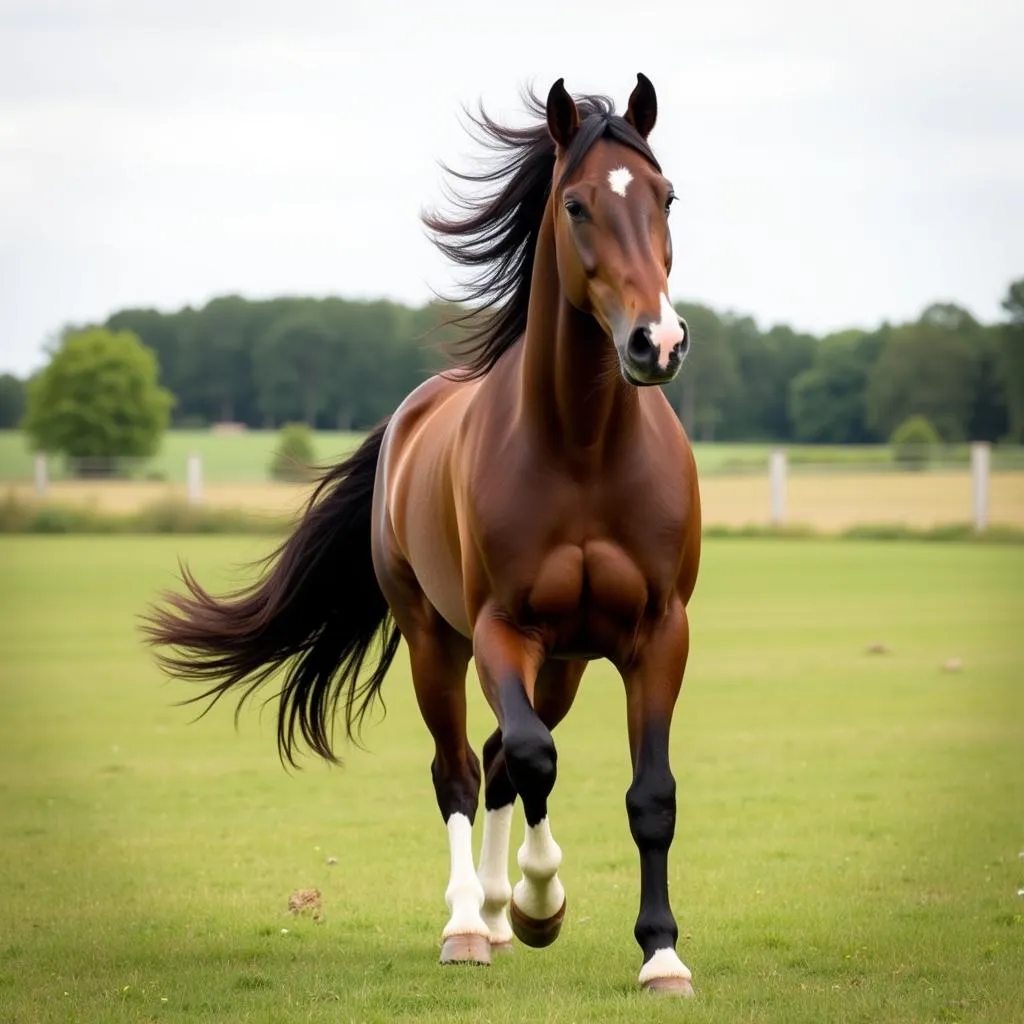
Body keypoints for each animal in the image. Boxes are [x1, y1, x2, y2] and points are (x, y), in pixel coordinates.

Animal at [144, 74, 700, 999]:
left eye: (666, 196)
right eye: (577, 204)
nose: (655, 342)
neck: (583, 449)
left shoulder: (657, 634)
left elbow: (646, 794)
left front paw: (659, 956)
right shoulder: (502, 630)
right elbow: (530, 759)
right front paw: (541, 902)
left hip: (566, 663)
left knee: (499, 758)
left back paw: (501, 917)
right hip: (435, 642)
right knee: (465, 769)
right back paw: (474, 923)